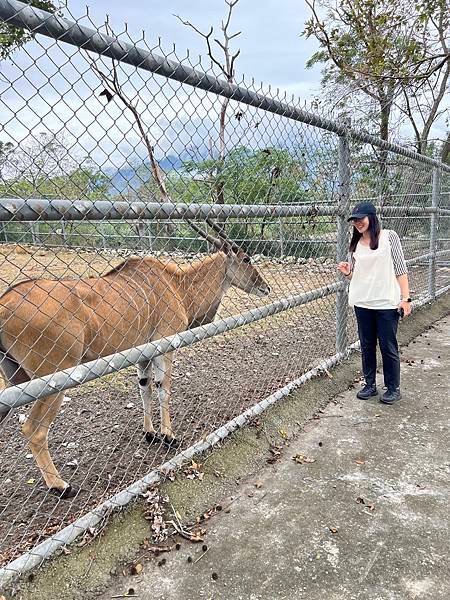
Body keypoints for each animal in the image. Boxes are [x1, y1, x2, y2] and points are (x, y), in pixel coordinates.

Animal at [0, 220, 270, 496]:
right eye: (246, 258)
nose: (266, 287)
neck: (178, 285)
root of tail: (5, 302)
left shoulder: (143, 354)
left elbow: (145, 388)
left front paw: (150, 433)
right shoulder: (164, 347)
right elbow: (163, 388)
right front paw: (168, 436)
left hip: (13, 380)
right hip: (52, 381)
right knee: (33, 430)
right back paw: (60, 485)